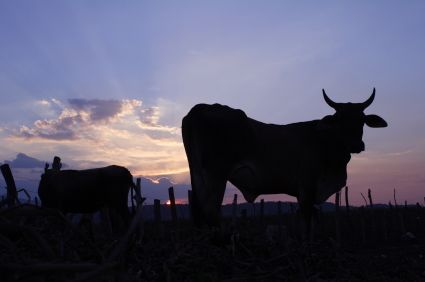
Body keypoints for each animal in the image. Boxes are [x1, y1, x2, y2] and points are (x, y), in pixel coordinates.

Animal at [181, 89, 386, 228]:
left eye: (362, 120)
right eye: (340, 120)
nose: (356, 145)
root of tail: (201, 108)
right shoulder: (307, 186)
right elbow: (307, 221)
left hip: (197, 173)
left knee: (198, 212)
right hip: (215, 175)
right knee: (210, 211)